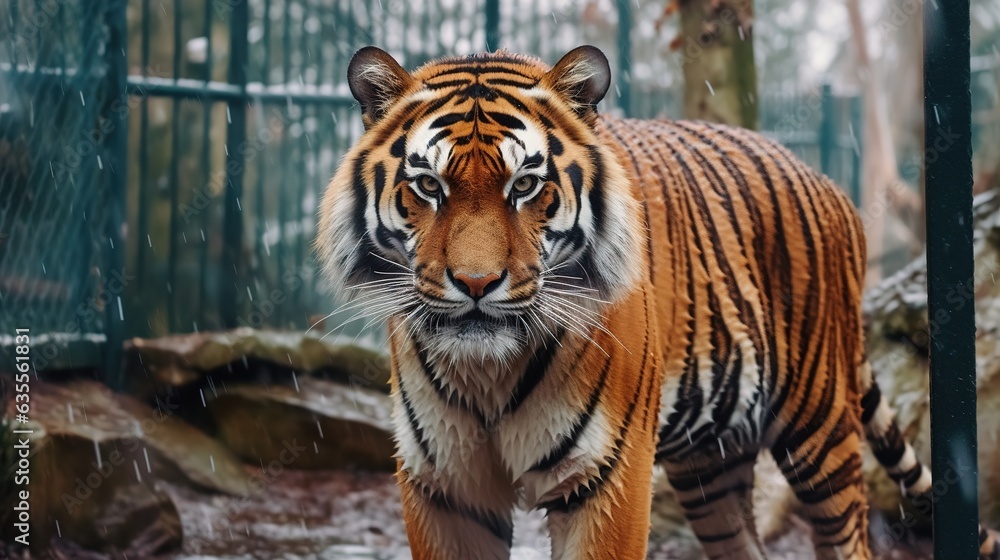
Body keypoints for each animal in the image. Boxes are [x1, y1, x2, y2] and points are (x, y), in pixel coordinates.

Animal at [316, 45, 999, 560]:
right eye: (428, 185)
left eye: (526, 185)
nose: (476, 283)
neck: (488, 371)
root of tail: (829, 184)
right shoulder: (443, 488)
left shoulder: (607, 478)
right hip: (709, 464)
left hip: (820, 427)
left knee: (848, 537)